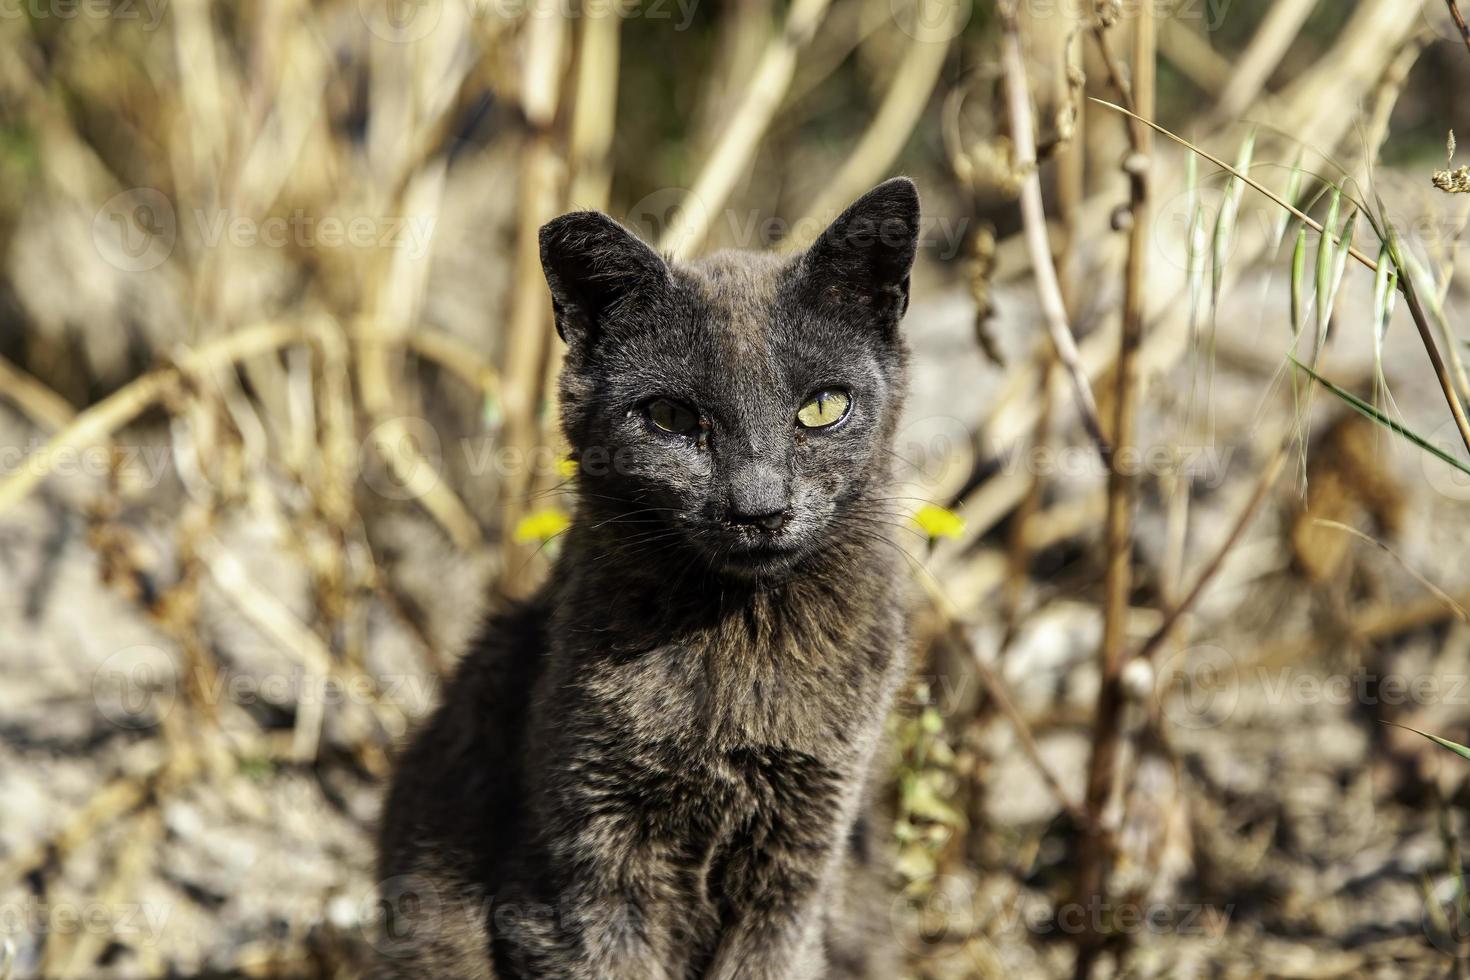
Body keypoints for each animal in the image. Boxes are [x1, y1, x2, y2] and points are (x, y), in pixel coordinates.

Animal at [367, 178, 917, 980]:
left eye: (823, 407)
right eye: (669, 416)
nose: (760, 507)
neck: (736, 648)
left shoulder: (801, 862)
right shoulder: (583, 869)